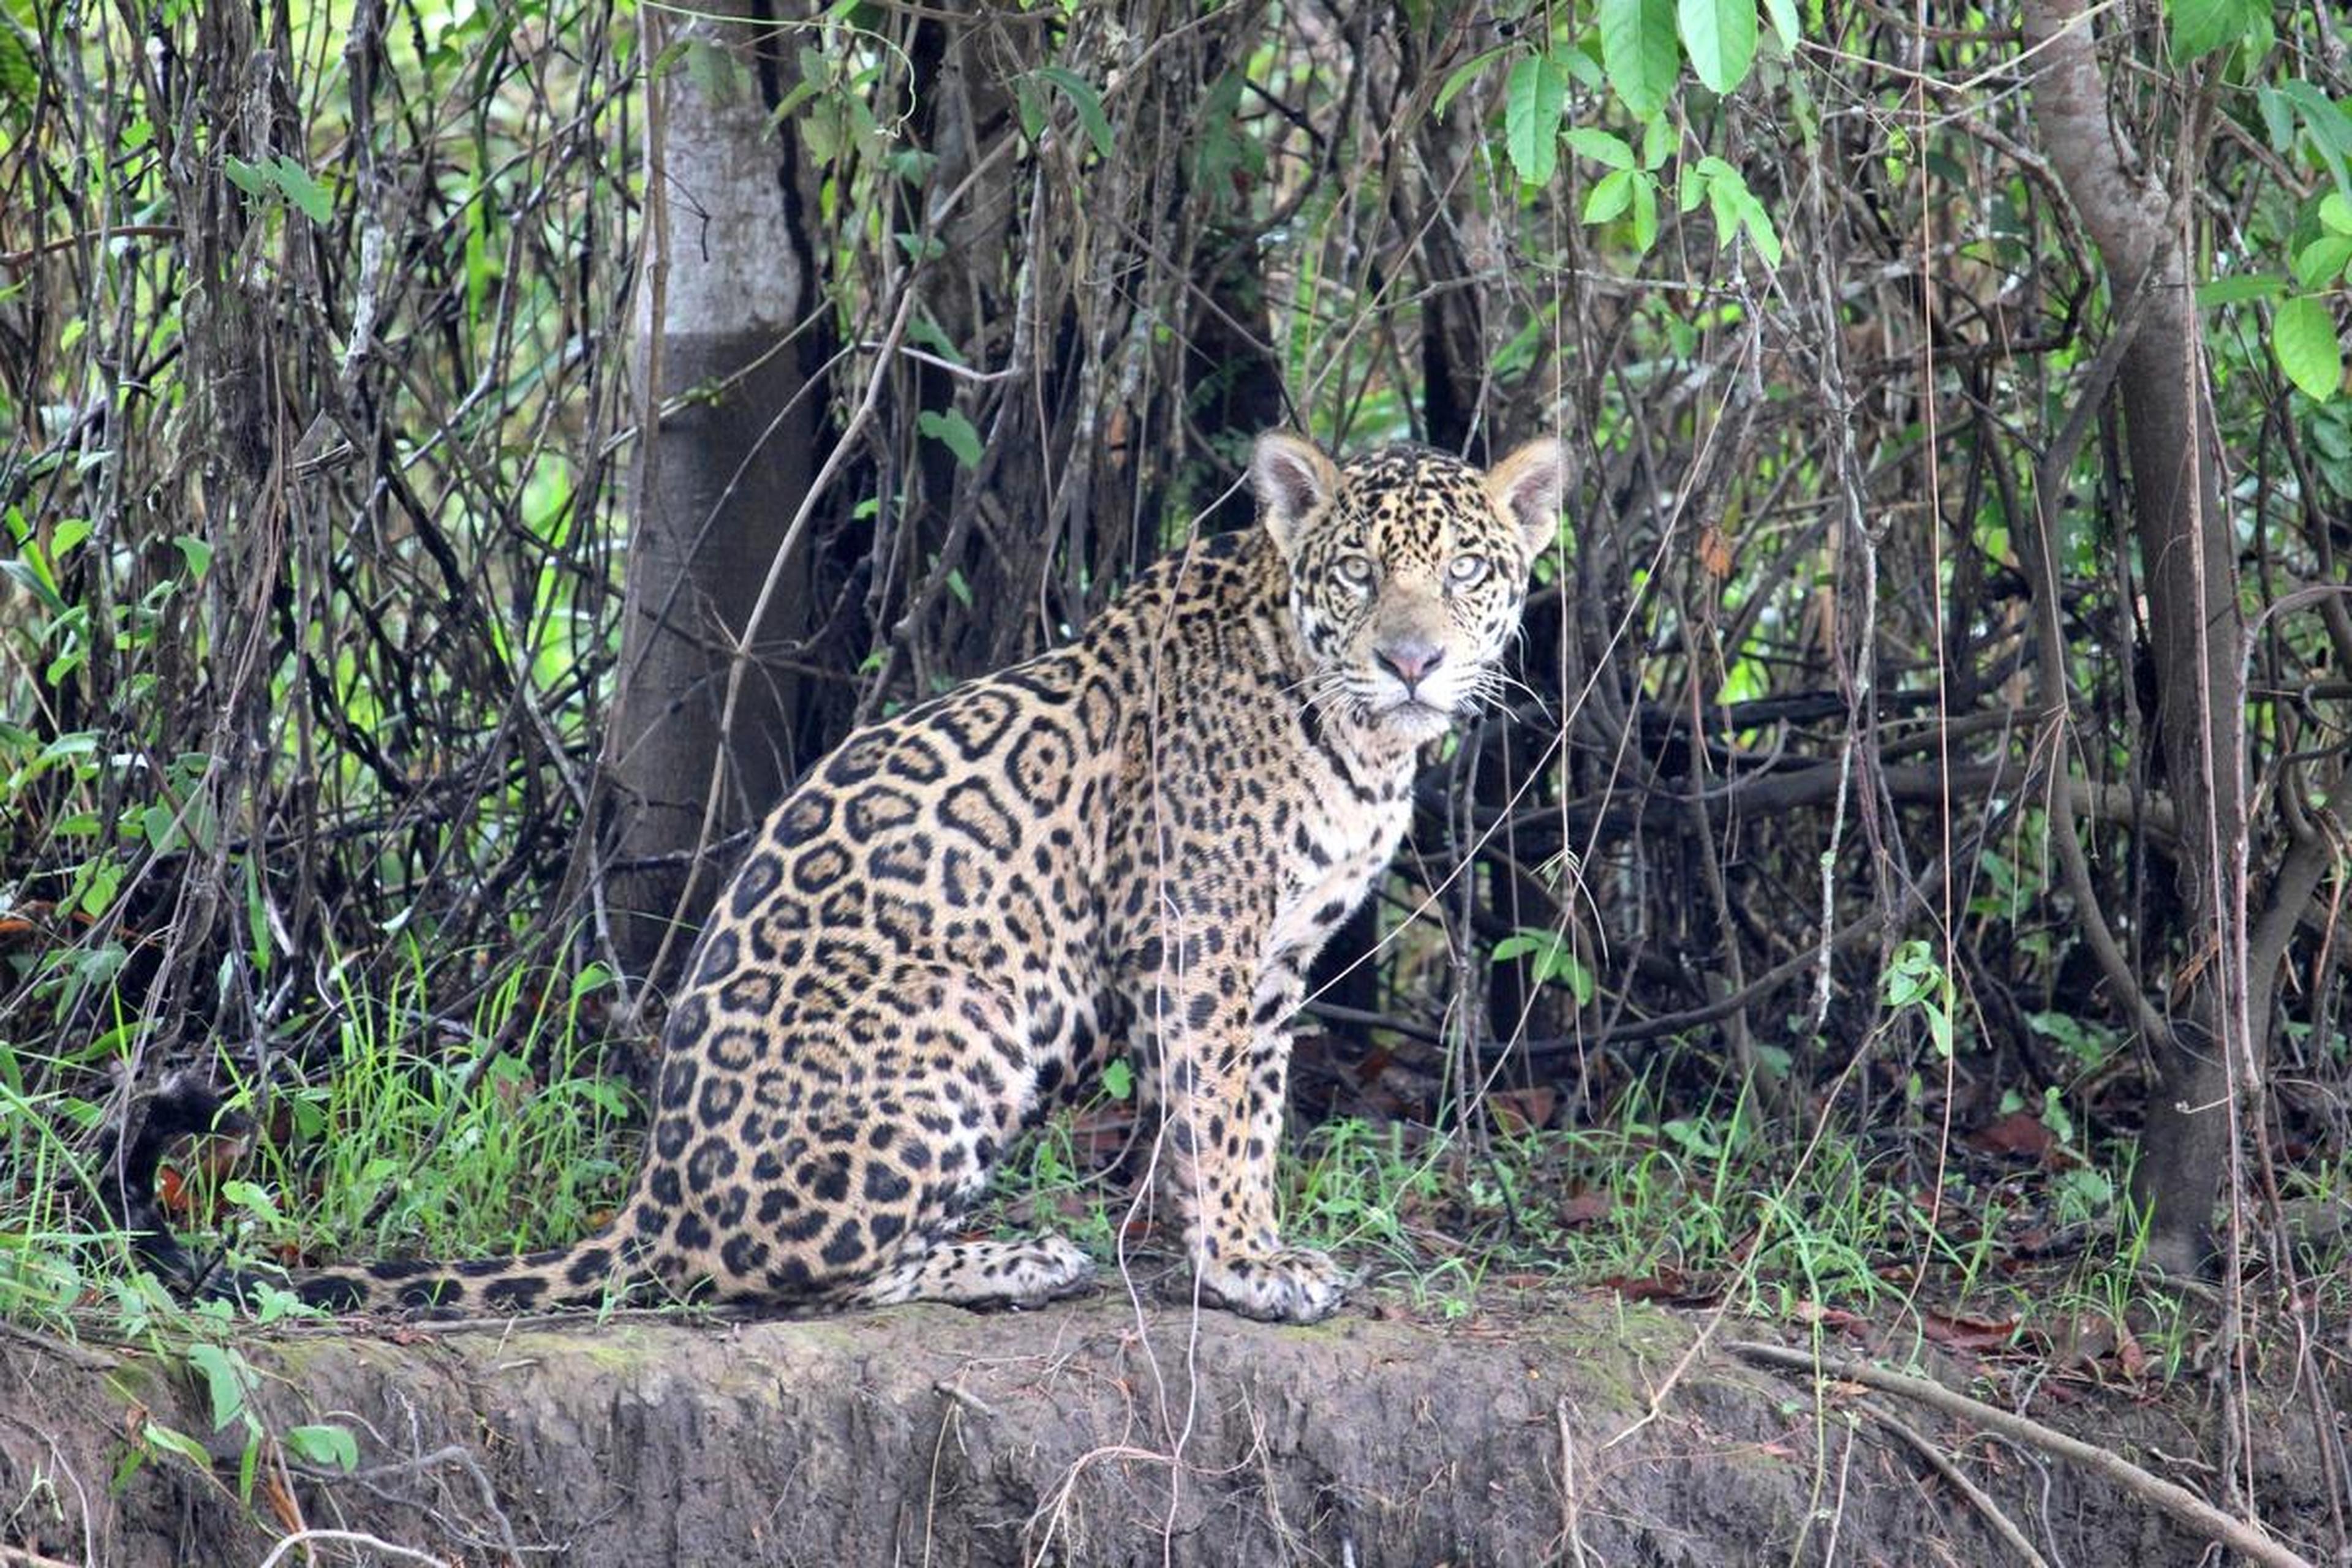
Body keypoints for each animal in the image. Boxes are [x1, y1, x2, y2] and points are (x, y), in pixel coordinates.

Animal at [233, 432, 1565, 1325]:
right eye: (1359, 574)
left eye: (1466, 571)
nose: (1411, 660)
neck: (1358, 738)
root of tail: (655, 1194)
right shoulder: (1200, 937)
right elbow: (1221, 1111)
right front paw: (1245, 1263)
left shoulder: (1279, 955)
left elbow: (1265, 1106)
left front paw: (1260, 1238)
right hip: (966, 1022)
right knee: (790, 1278)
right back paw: (1017, 1259)